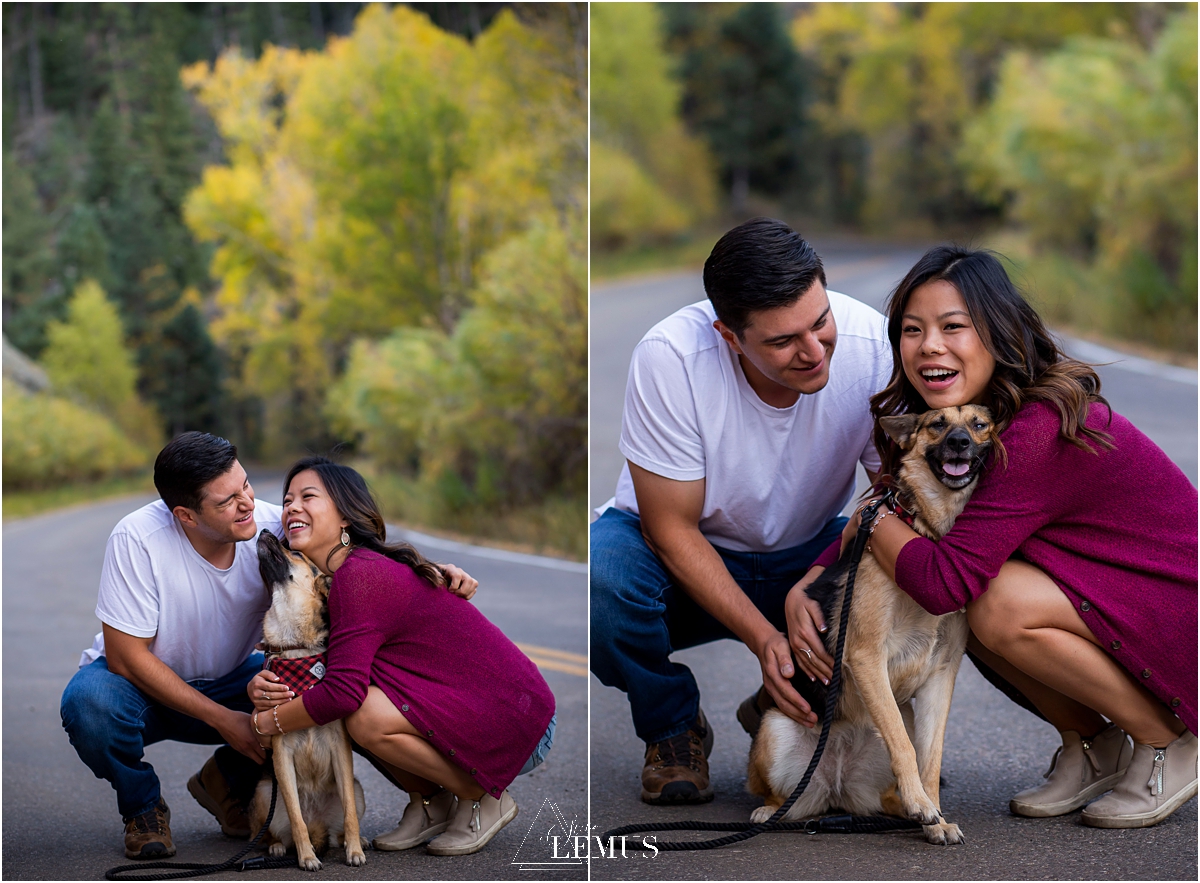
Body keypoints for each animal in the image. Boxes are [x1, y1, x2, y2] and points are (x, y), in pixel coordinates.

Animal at [250, 530, 367, 868]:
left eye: (297, 553)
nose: (264, 531)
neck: (295, 645)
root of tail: (320, 825)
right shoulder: (281, 754)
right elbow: (295, 816)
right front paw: (306, 857)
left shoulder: (340, 748)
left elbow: (350, 814)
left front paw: (355, 850)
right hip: (264, 792)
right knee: (273, 832)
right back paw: (278, 848)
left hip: (357, 790)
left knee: (340, 826)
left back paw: (353, 841)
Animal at [748, 403, 993, 844]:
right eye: (937, 424)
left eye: (979, 424)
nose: (959, 442)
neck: (928, 533)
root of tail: (836, 790)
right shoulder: (865, 656)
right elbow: (904, 746)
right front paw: (923, 805)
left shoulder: (940, 676)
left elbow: (930, 757)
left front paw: (934, 815)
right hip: (774, 731)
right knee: (776, 798)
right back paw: (766, 812)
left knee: (889, 791)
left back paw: (911, 810)